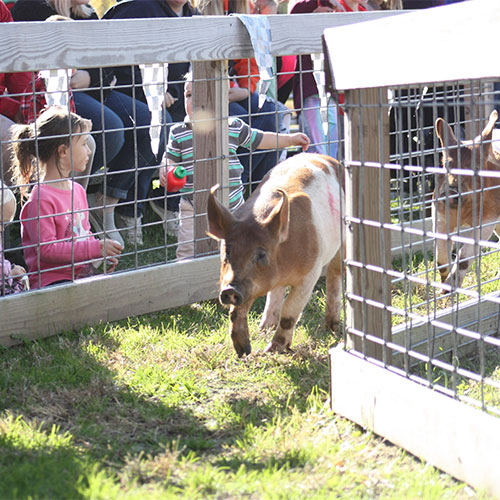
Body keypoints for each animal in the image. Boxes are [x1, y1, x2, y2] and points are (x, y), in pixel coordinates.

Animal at [206, 152, 344, 356]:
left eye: (261, 254)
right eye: (227, 251)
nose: (230, 290)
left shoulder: (311, 273)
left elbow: (289, 313)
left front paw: (271, 350)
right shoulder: (245, 283)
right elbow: (236, 312)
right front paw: (243, 351)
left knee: (335, 274)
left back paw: (332, 328)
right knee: (276, 293)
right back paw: (265, 327)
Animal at [434, 109, 500, 290]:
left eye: (476, 168)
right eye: (447, 164)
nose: (452, 190)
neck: (462, 213)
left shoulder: (488, 220)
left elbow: (464, 255)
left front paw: (449, 288)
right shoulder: (439, 216)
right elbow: (441, 255)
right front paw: (443, 286)